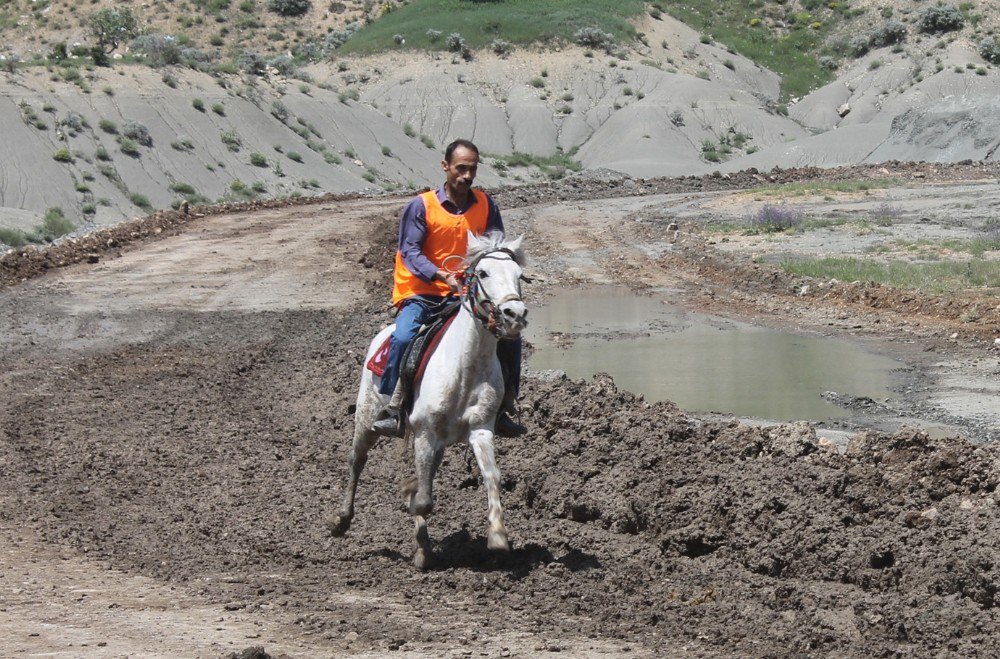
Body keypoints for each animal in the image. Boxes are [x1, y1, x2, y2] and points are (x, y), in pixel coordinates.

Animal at [330, 231, 532, 568]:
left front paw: (497, 536)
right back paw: (342, 520)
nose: (514, 315)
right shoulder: (425, 433)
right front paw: (414, 513)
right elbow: (424, 500)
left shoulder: (480, 429)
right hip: (367, 420)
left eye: (519, 275)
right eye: (483, 273)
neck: (465, 365)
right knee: (356, 461)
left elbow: (492, 476)